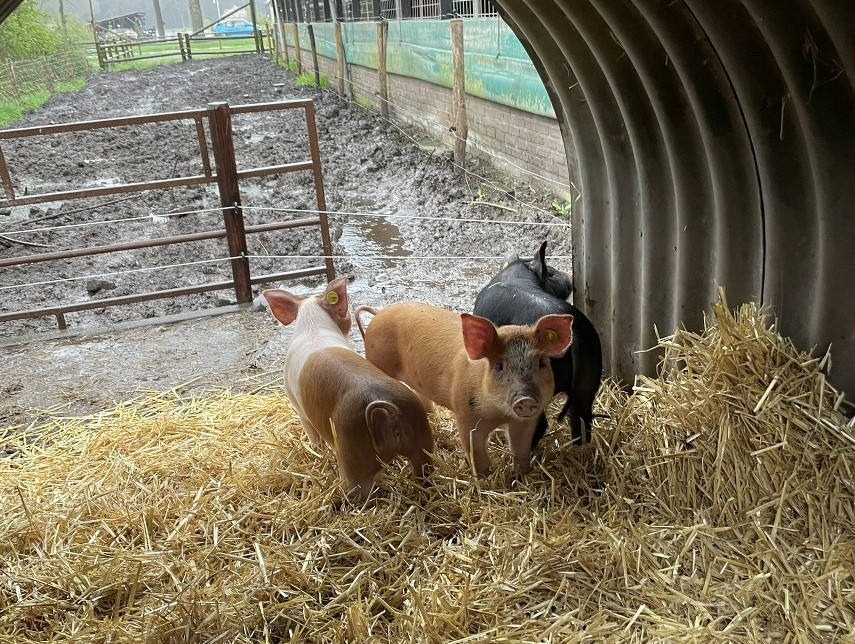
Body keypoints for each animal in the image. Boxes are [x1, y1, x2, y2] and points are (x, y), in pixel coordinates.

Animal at [262, 278, 434, 501]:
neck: (312, 327)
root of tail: (385, 409)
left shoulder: (299, 409)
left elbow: (313, 437)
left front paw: (317, 450)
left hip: (352, 453)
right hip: (420, 436)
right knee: (424, 471)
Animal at [355, 302, 572, 476]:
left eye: (541, 362)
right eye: (499, 366)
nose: (525, 399)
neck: (499, 415)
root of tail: (379, 314)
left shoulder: (525, 422)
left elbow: (520, 450)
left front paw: (520, 476)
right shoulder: (466, 416)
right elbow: (476, 453)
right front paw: (485, 478)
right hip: (378, 361)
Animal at [473, 240, 602, 446]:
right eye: (551, 273)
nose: (569, 280)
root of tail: (572, 333)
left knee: (539, 423)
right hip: (589, 376)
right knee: (581, 418)